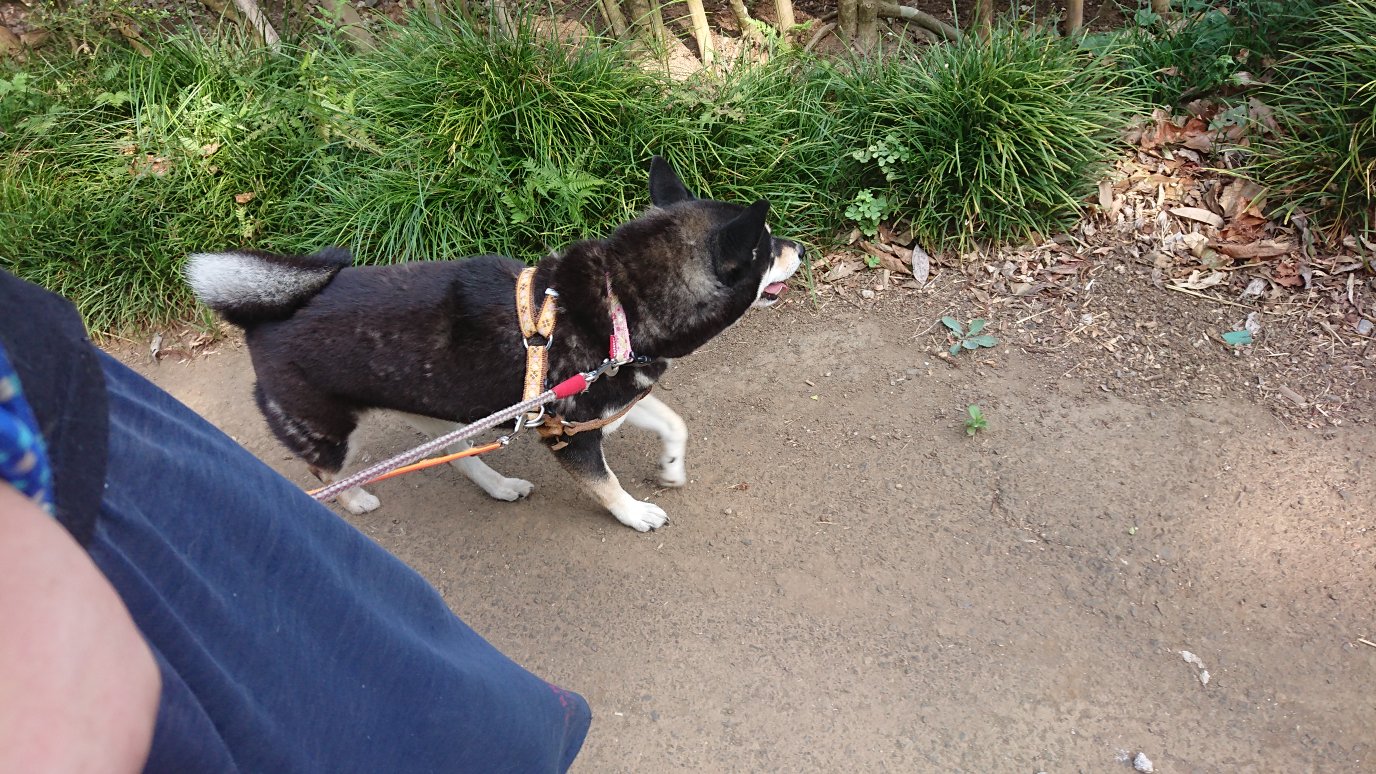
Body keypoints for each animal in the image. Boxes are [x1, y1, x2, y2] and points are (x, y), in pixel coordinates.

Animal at [186, 157, 802, 531]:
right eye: (767, 247)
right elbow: (604, 485)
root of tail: (260, 318)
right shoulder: (570, 432)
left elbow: (675, 423)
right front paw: (633, 512)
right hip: (332, 434)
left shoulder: (604, 399)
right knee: (326, 473)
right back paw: (356, 498)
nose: (801, 248)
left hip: (448, 410)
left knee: (458, 459)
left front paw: (671, 467)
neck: (620, 303)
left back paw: (498, 485)